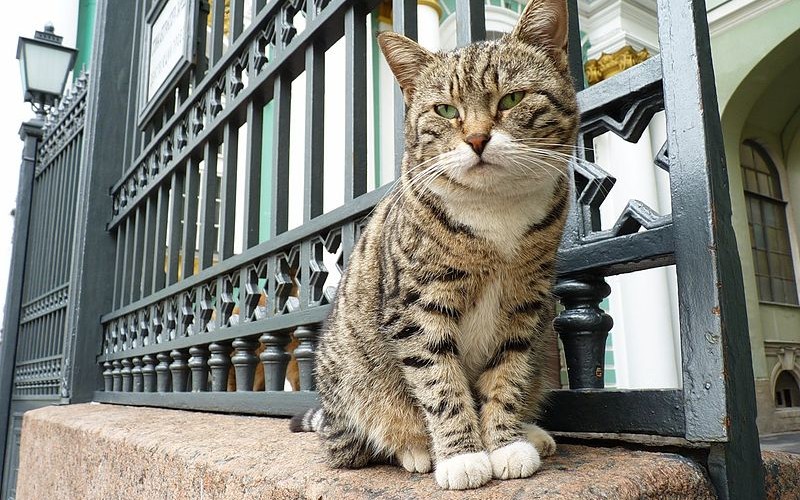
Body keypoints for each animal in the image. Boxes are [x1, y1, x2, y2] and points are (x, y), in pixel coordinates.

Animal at [290, 0, 580, 490]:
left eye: (512, 99)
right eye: (445, 110)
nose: (478, 139)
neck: (495, 208)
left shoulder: (525, 303)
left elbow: (509, 375)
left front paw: (504, 443)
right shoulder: (416, 307)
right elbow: (440, 384)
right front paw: (462, 456)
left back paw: (532, 431)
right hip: (351, 387)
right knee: (359, 443)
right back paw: (416, 449)